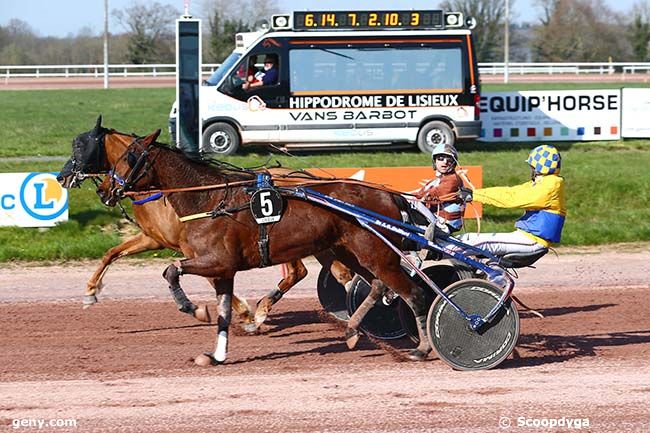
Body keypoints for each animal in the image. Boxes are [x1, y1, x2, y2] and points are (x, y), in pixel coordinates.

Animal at [57, 116, 350, 330]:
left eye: (80, 146)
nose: (62, 177)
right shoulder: (153, 238)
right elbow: (112, 253)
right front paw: (91, 291)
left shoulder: (196, 249)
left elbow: (209, 276)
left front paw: (242, 313)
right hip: (316, 241)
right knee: (331, 272)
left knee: (302, 271)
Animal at [96, 136, 430, 364]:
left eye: (128, 158)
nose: (103, 189)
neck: (209, 201)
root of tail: (387, 194)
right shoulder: (224, 271)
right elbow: (223, 313)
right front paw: (217, 355)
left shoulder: (216, 261)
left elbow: (171, 270)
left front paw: (195, 309)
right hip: (354, 253)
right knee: (377, 285)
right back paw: (350, 331)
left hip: (376, 255)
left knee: (414, 294)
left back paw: (421, 348)